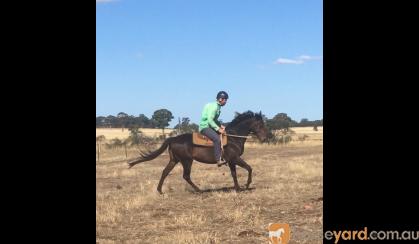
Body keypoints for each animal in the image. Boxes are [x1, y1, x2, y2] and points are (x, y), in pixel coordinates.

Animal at [126, 110, 270, 193]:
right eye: (260, 124)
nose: (264, 138)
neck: (233, 137)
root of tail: (173, 138)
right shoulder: (235, 159)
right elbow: (249, 168)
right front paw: (246, 185)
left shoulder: (231, 161)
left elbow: (234, 174)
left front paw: (238, 188)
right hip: (186, 161)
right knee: (186, 176)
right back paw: (199, 190)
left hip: (175, 160)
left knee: (165, 172)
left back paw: (160, 191)